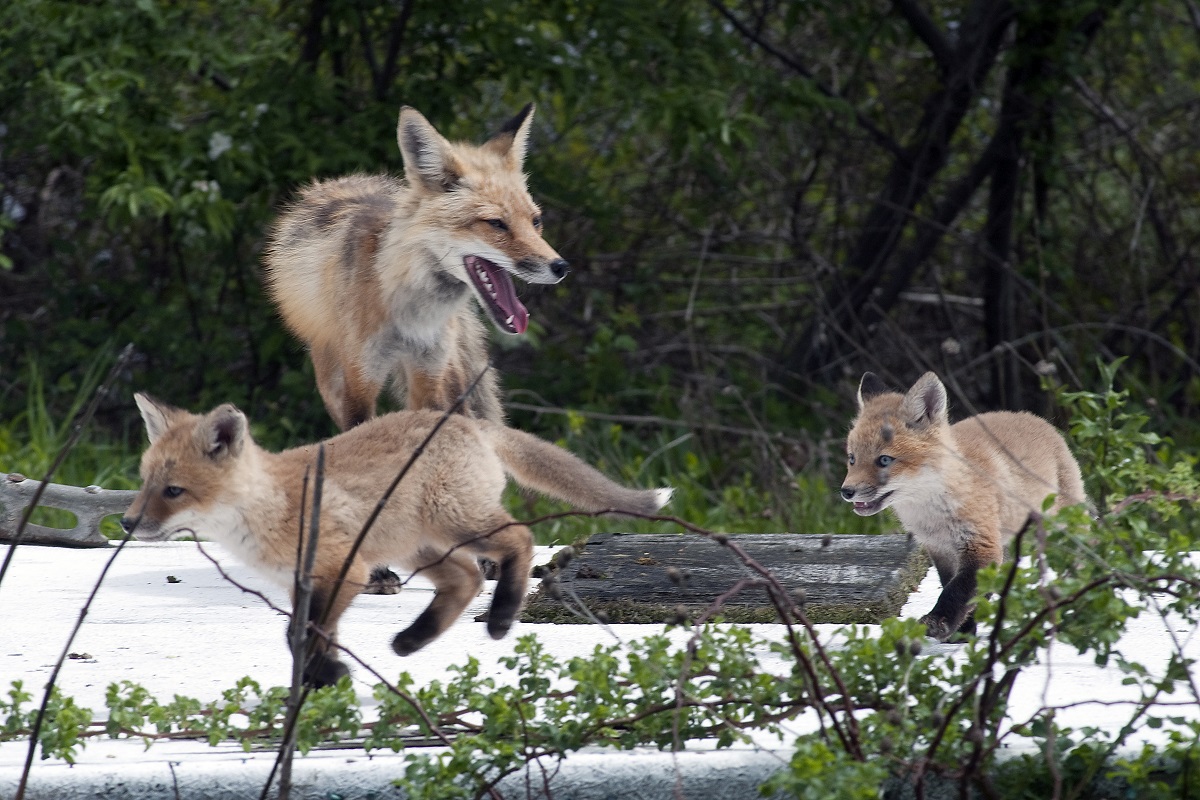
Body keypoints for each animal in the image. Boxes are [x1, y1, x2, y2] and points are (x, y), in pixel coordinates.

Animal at [121, 393, 672, 690]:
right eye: (145, 482)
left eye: (173, 491)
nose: (126, 523)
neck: (268, 508)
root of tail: (468, 421)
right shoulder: (307, 582)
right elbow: (305, 636)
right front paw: (324, 679)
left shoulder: (346, 569)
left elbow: (302, 636)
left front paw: (326, 675)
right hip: (418, 547)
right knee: (466, 580)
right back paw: (413, 639)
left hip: (458, 525)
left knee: (520, 538)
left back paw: (499, 619)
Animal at [265, 104, 564, 431]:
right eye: (496, 224)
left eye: (535, 221)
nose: (560, 267)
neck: (411, 314)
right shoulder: (360, 378)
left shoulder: (429, 369)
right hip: (329, 376)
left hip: (450, 369)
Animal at [844, 371, 1089, 642]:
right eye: (852, 458)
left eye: (884, 460)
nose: (846, 491)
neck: (932, 513)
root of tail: (1037, 419)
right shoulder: (940, 549)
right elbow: (954, 584)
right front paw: (964, 630)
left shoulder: (981, 544)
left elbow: (957, 590)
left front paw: (938, 622)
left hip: (1062, 526)